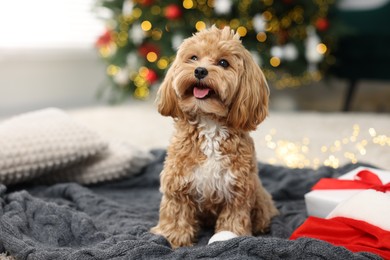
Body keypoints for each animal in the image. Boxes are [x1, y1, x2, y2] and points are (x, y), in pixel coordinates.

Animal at [151, 25, 278, 248]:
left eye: (223, 63)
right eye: (193, 58)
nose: (200, 70)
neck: (210, 124)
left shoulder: (237, 190)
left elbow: (233, 219)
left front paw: (230, 237)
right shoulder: (178, 185)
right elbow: (177, 215)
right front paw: (173, 238)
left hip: (260, 196)